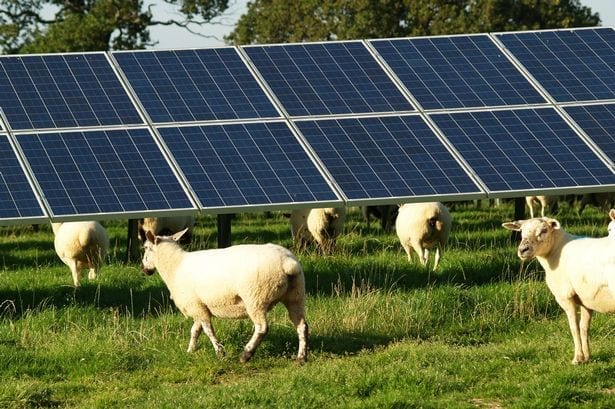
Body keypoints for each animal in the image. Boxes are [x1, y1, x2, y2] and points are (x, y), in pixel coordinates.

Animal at [142, 228, 310, 362]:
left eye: (145, 247)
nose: (144, 269)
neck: (175, 266)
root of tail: (287, 262)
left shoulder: (195, 305)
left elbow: (208, 330)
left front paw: (219, 352)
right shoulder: (199, 306)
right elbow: (195, 330)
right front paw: (190, 350)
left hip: (255, 298)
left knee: (262, 328)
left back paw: (246, 354)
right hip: (296, 295)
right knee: (302, 326)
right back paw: (301, 358)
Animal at [502, 217, 615, 364]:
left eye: (544, 230)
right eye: (521, 231)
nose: (523, 250)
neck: (556, 251)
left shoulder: (565, 296)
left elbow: (574, 328)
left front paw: (577, 358)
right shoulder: (586, 299)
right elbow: (584, 328)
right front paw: (587, 357)